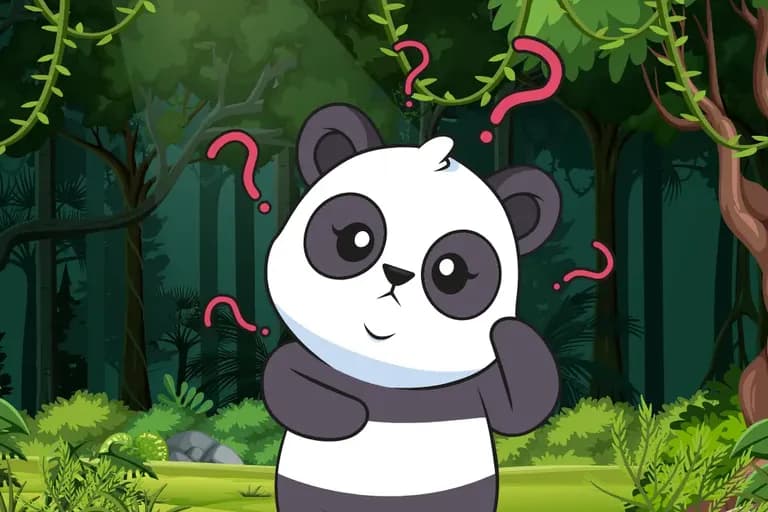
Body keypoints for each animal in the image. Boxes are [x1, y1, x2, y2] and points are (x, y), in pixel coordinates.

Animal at [262, 103, 561, 512]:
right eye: (355, 240)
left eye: (451, 271)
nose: (397, 273)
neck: (387, 377)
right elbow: (284, 379)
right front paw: (349, 413)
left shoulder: (474, 389)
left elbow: (521, 407)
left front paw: (505, 328)